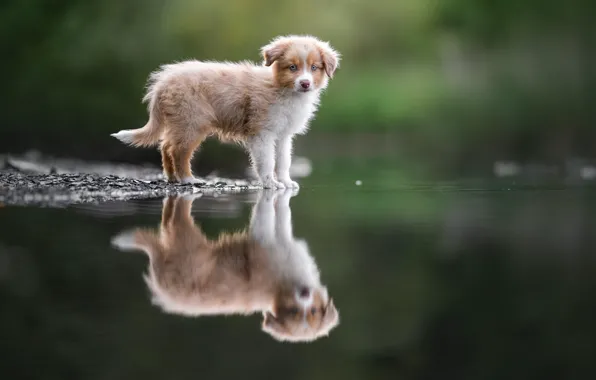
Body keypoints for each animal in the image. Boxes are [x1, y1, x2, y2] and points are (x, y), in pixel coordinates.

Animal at [109, 191, 338, 342]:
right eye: (293, 311)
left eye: (314, 311)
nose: (305, 292)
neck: (281, 287)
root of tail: (163, 289)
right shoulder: (269, 247)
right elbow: (276, 219)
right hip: (186, 242)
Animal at [110, 35, 340, 189]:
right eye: (292, 67)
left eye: (314, 68)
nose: (305, 83)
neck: (283, 90)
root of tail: (163, 82)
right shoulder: (262, 133)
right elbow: (267, 161)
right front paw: (270, 183)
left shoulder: (283, 135)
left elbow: (283, 160)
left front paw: (285, 181)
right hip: (192, 121)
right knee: (178, 150)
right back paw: (187, 179)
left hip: (180, 121)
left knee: (166, 146)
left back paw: (172, 178)